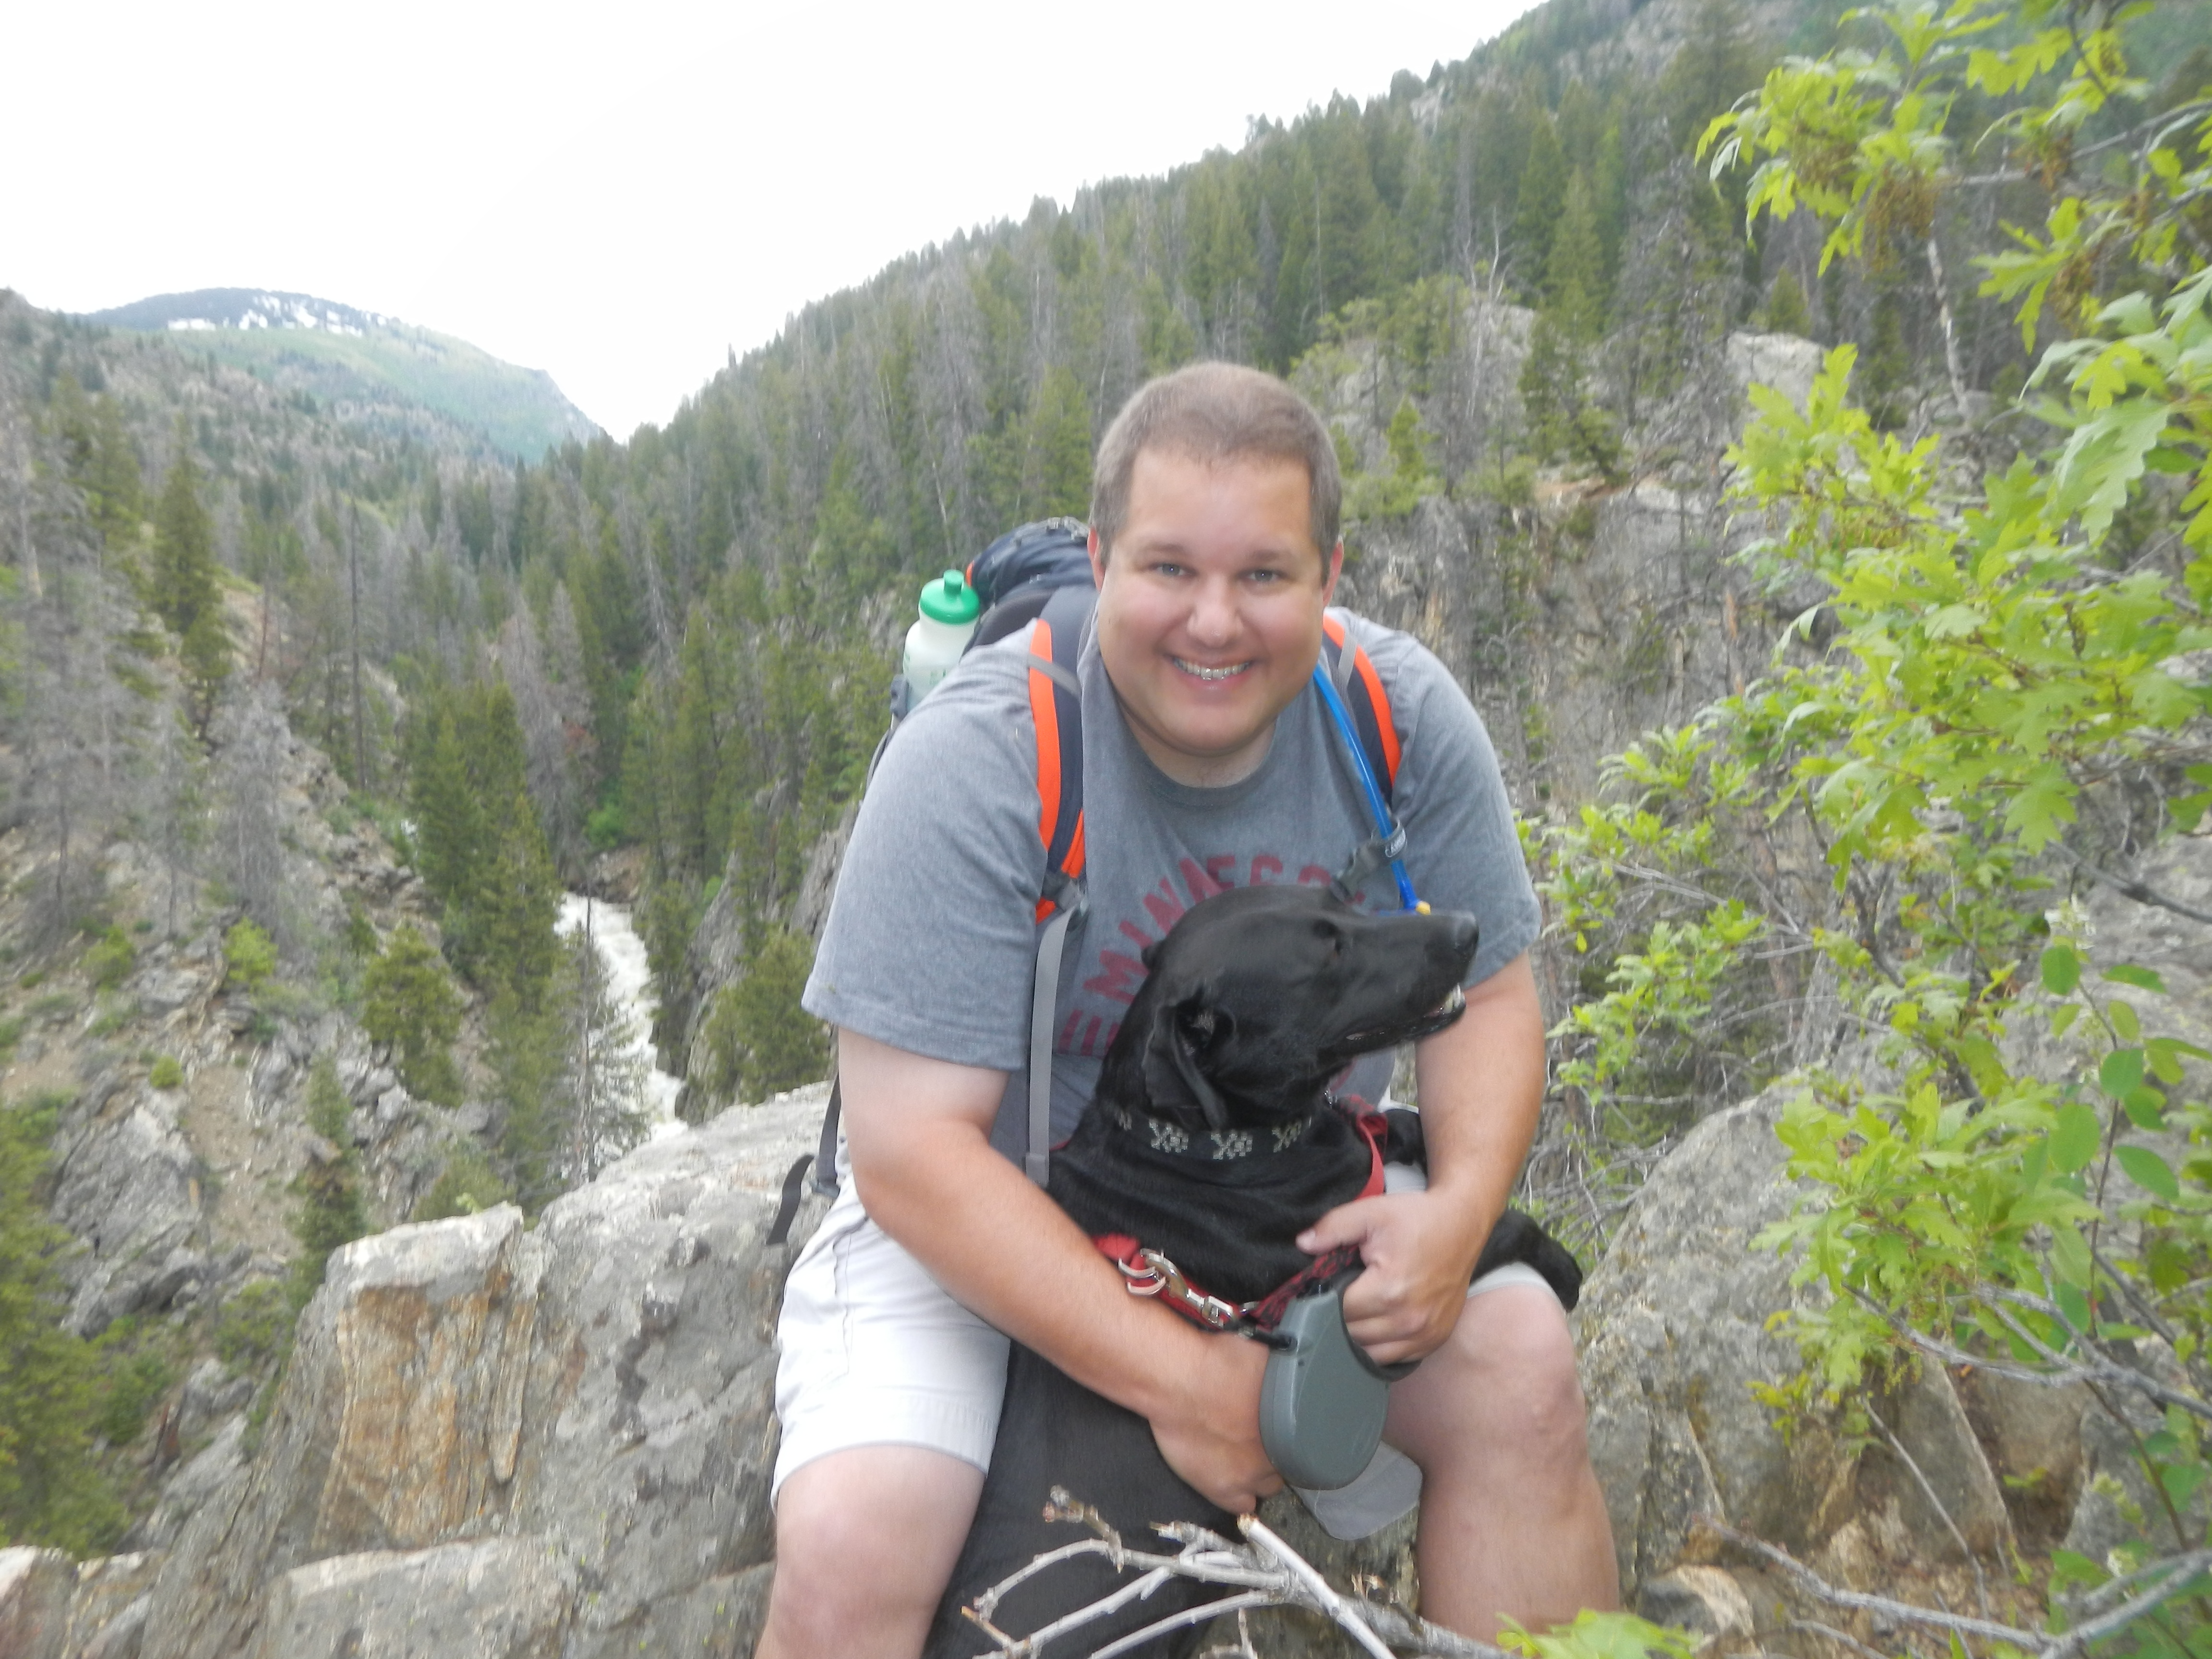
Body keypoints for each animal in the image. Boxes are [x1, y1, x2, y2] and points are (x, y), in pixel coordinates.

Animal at [924, 883, 1582, 1658]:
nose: (1465, 927)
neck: (1200, 1148)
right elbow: (1495, 1228)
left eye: (1344, 900)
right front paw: (1563, 1264)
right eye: (1327, 954)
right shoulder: (1363, 1275)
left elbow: (1399, 1129)